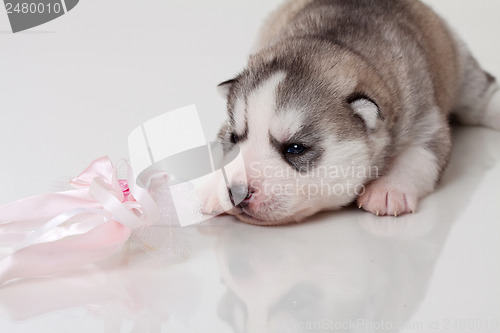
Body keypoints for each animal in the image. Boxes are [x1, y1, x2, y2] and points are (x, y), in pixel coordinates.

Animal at [209, 0, 498, 226]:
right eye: (234, 139)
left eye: (295, 148)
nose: (236, 191)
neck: (332, 41)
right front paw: (210, 187)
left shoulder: (426, 117)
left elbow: (420, 154)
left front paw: (389, 188)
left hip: (461, 65)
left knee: (480, 97)